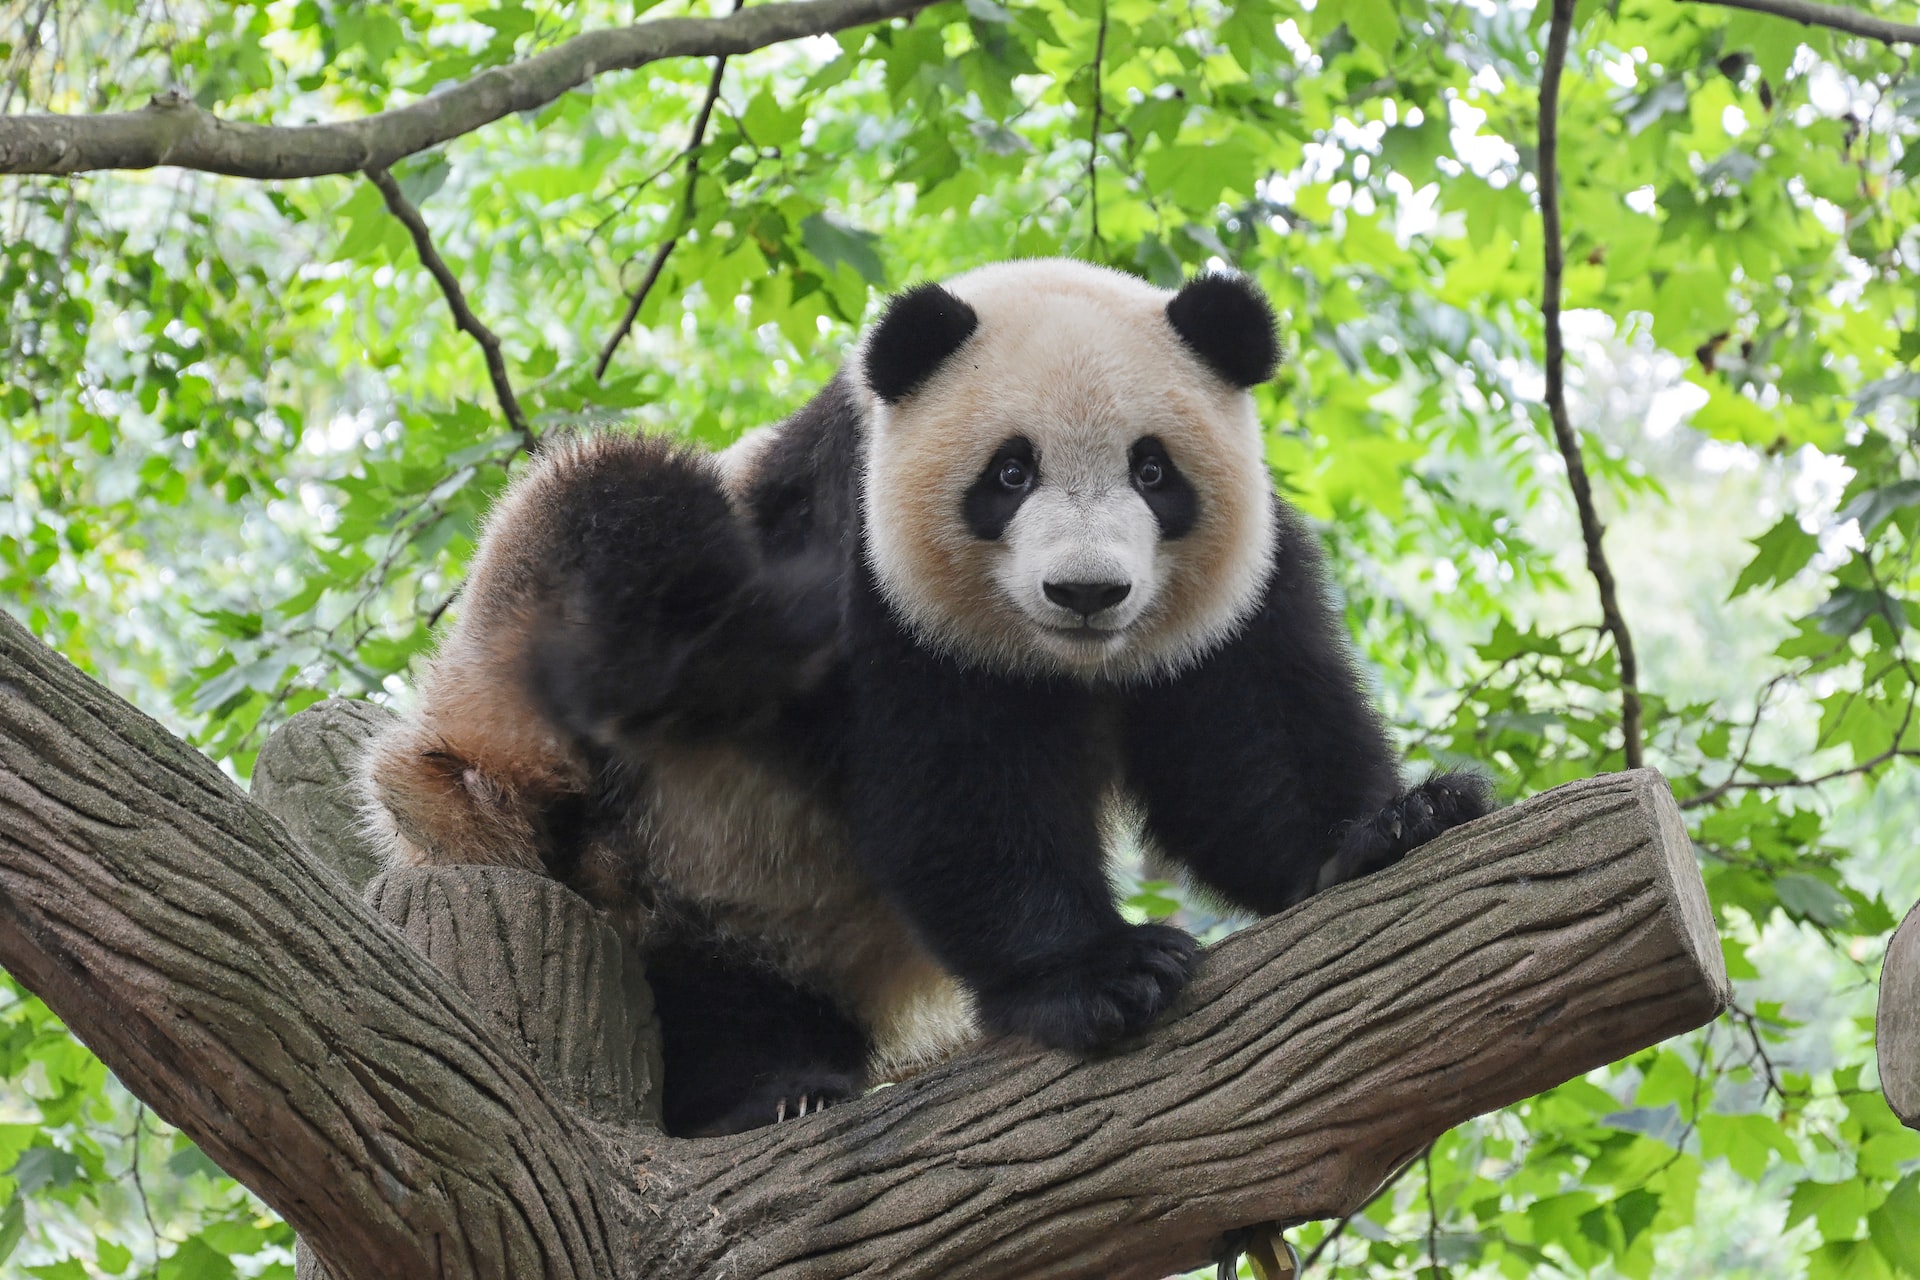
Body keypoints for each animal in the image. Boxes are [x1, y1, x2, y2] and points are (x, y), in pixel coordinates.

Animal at [362, 255, 1497, 1136]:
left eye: (1153, 470)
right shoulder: (874, 577)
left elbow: (1248, 748)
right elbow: (958, 790)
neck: (1065, 663)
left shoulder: (1232, 594)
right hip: (541, 732)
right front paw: (1104, 972)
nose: (1087, 591)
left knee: (723, 992)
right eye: (1009, 473)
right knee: (617, 506)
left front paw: (1394, 824)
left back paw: (778, 1078)